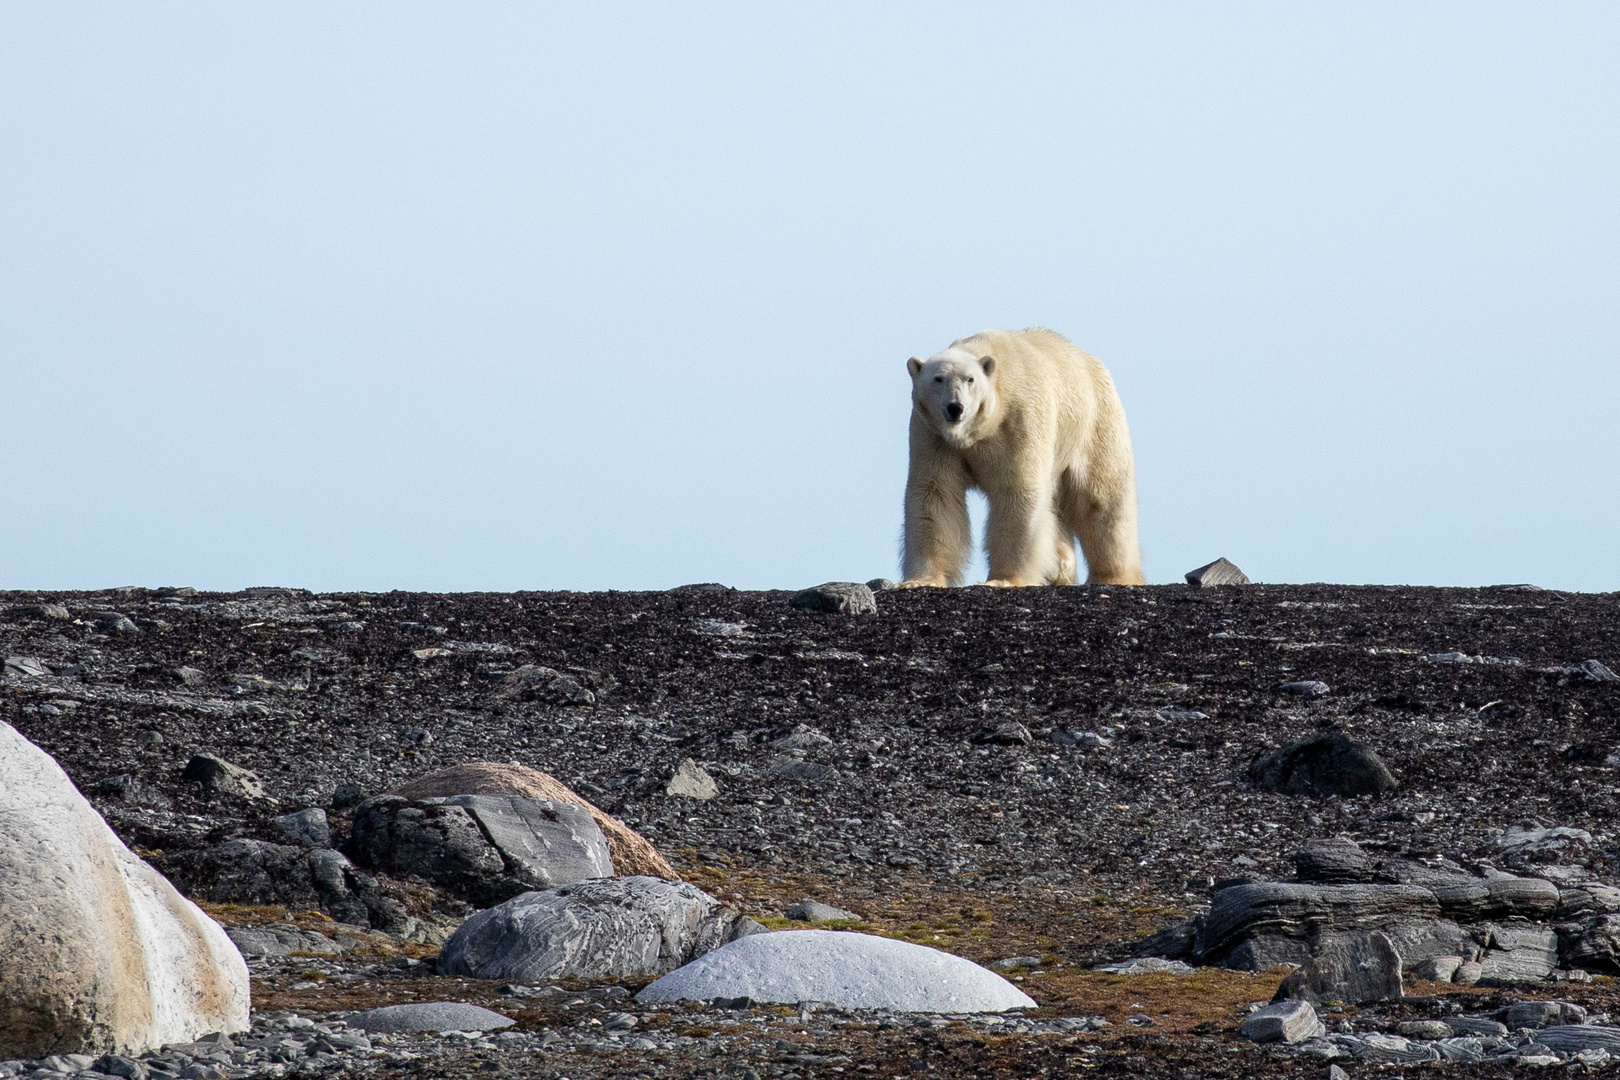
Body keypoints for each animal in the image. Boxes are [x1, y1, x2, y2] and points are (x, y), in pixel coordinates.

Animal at [894, 327, 1146, 586]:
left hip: (1093, 423)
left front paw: (1004, 579)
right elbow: (936, 492)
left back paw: (1114, 576)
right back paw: (1059, 568)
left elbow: (1017, 489)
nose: (955, 407)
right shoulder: (933, 435)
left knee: (1101, 498)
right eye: (938, 379)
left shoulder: (1019, 420)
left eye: (970, 379)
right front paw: (921, 580)